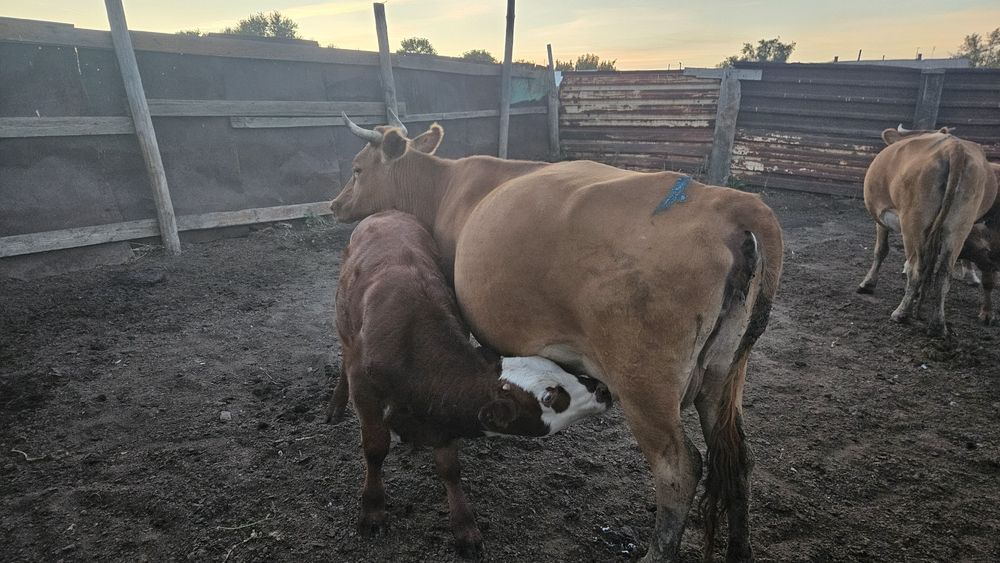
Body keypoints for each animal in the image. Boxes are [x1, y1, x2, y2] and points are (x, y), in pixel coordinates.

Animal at [330, 210, 612, 558]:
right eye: (549, 397)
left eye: (560, 367)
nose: (603, 390)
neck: (411, 343)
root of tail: (388, 213)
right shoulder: (366, 392)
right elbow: (374, 449)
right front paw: (372, 509)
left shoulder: (443, 410)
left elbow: (449, 467)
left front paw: (464, 527)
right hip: (343, 329)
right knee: (344, 359)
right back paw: (336, 404)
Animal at [857, 126, 999, 335]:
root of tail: (954, 148)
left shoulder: (882, 219)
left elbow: (881, 251)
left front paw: (867, 283)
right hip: (958, 228)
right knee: (943, 274)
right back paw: (938, 324)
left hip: (913, 223)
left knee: (917, 268)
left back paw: (901, 313)